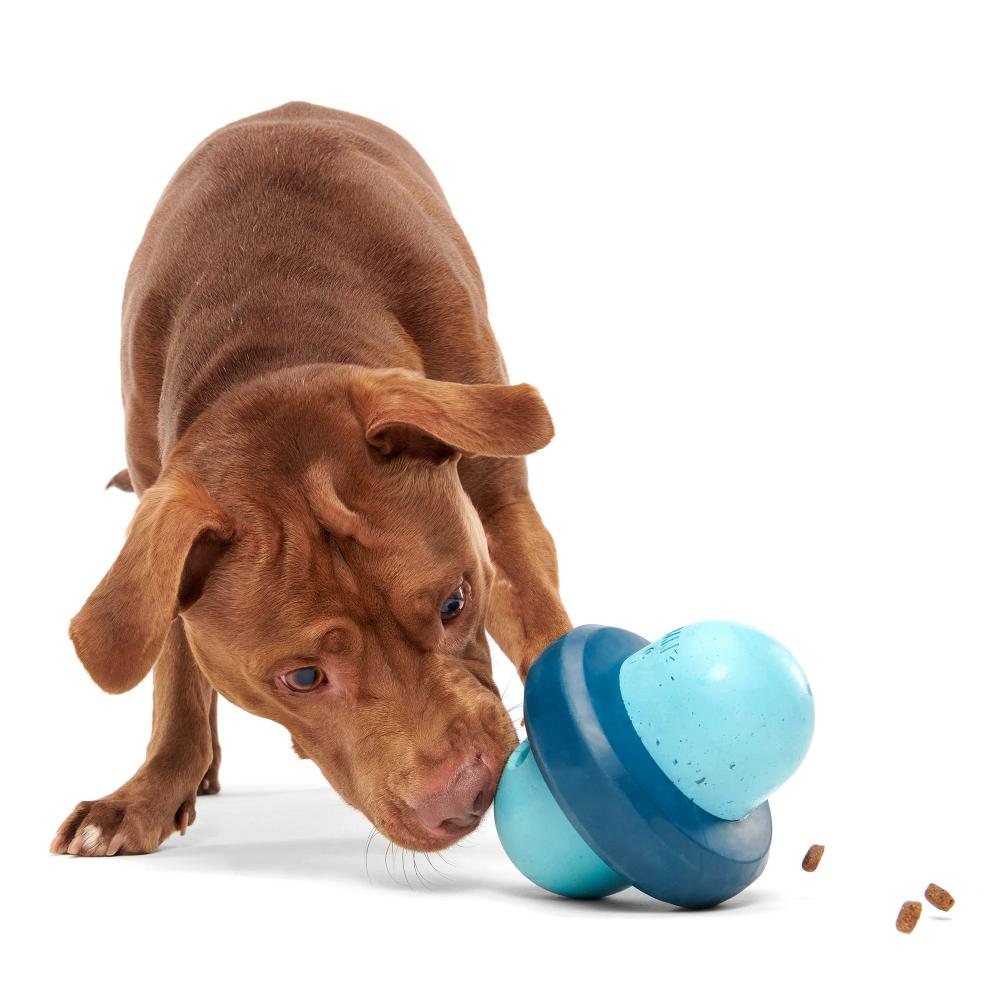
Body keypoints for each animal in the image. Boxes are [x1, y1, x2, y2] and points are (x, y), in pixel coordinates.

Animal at [52, 103, 572, 860]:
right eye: (302, 677)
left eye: (455, 603)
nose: (467, 795)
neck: (276, 332)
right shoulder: (163, 531)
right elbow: (175, 675)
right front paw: (147, 793)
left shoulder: (500, 510)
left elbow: (542, 618)